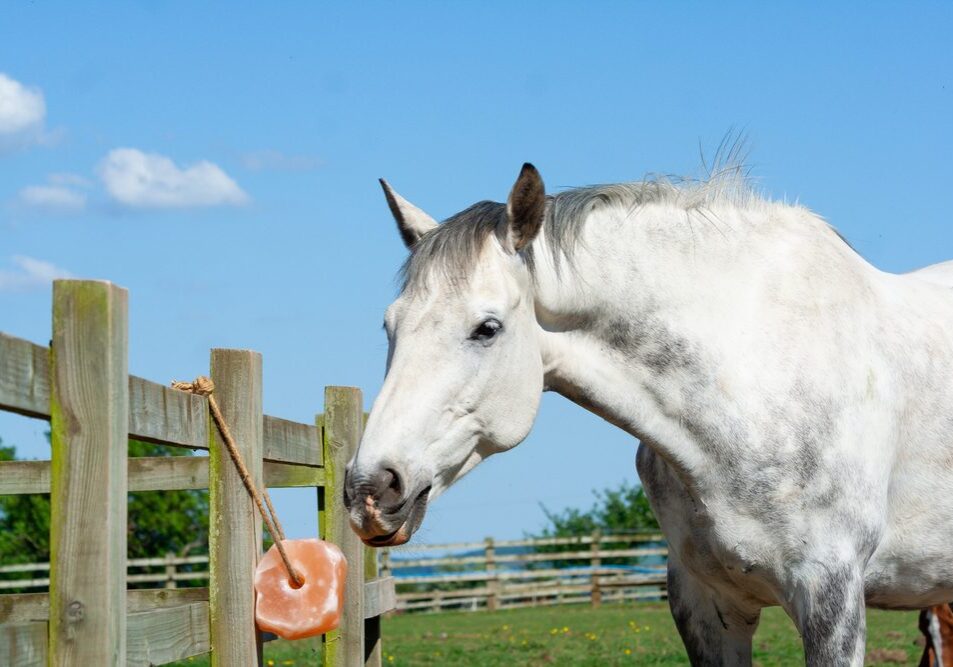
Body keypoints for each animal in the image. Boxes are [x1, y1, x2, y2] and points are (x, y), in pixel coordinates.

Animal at [344, 162, 953, 665]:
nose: (370, 490)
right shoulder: (706, 606)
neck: (755, 377)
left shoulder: (832, 598)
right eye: (389, 326)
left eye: (486, 328)